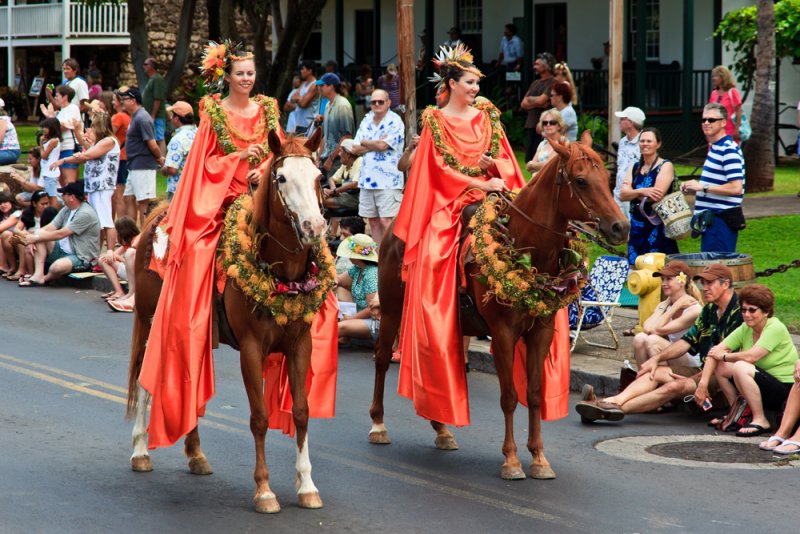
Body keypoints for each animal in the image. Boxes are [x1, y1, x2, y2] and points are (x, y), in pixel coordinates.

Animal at [125, 130, 332, 516]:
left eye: (318, 177)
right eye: (282, 178)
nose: (314, 228)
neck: (281, 273)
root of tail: (158, 214)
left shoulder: (301, 345)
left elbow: (300, 412)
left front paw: (307, 486)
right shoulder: (250, 348)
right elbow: (260, 417)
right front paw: (264, 491)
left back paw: (195, 454)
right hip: (149, 320)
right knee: (145, 378)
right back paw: (141, 450)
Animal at [370, 134, 632, 482]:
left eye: (606, 178)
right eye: (581, 181)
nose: (621, 227)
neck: (524, 246)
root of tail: (392, 232)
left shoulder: (541, 332)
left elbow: (533, 393)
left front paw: (538, 457)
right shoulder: (503, 334)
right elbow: (509, 397)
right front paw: (511, 460)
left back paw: (442, 428)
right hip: (391, 310)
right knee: (382, 358)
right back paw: (378, 424)